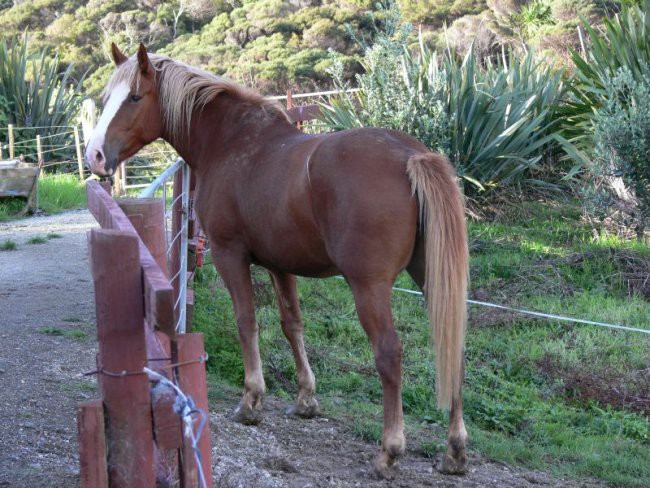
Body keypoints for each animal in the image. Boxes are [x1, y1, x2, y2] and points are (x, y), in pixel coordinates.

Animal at [88, 43, 468, 478]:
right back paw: (455, 451)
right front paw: (305, 400)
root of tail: (412, 155)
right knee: (453, 348)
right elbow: (292, 325)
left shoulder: (231, 255)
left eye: (135, 97)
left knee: (389, 353)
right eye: (106, 98)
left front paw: (251, 401)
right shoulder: (279, 264)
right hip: (431, 278)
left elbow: (247, 322)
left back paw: (389, 451)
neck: (230, 142)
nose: (94, 156)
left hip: (368, 287)